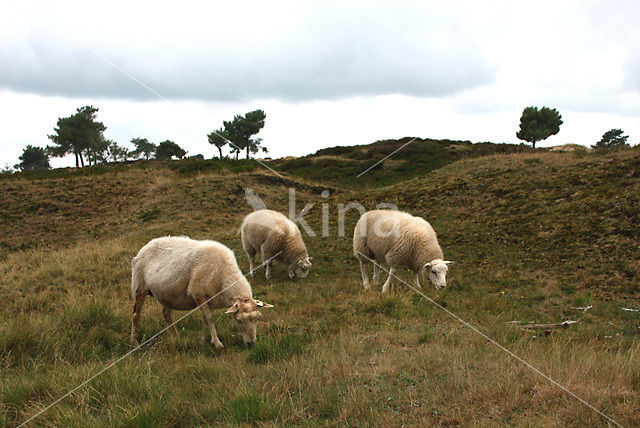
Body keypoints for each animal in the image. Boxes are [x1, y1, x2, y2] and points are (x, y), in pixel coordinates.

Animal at [130, 236, 272, 350]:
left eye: (258, 318)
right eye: (239, 320)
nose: (251, 344)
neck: (223, 274)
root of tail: (144, 247)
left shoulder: (209, 298)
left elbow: (205, 318)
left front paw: (201, 340)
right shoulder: (198, 294)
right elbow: (209, 318)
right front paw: (217, 343)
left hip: (168, 295)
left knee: (166, 313)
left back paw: (176, 336)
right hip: (140, 287)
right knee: (136, 315)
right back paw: (134, 342)